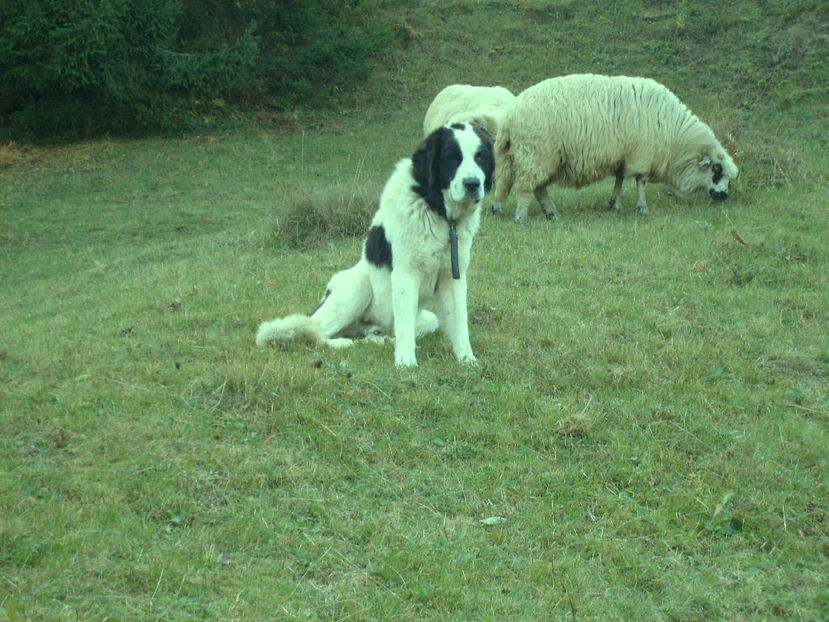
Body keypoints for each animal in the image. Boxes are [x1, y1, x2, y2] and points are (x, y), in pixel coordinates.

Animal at [254, 124, 492, 368]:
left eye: (480, 157)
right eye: (451, 158)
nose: (473, 184)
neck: (435, 208)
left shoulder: (452, 277)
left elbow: (459, 323)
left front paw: (467, 359)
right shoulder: (406, 274)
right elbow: (405, 326)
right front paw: (406, 363)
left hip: (424, 318)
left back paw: (380, 340)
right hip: (357, 287)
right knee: (314, 332)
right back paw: (342, 343)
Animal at [492, 74, 736, 224]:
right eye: (716, 170)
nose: (724, 197)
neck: (674, 134)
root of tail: (509, 117)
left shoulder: (624, 155)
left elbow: (619, 178)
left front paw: (614, 204)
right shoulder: (642, 154)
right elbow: (640, 181)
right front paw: (642, 207)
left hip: (537, 157)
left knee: (538, 188)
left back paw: (551, 213)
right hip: (535, 152)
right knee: (526, 188)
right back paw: (521, 217)